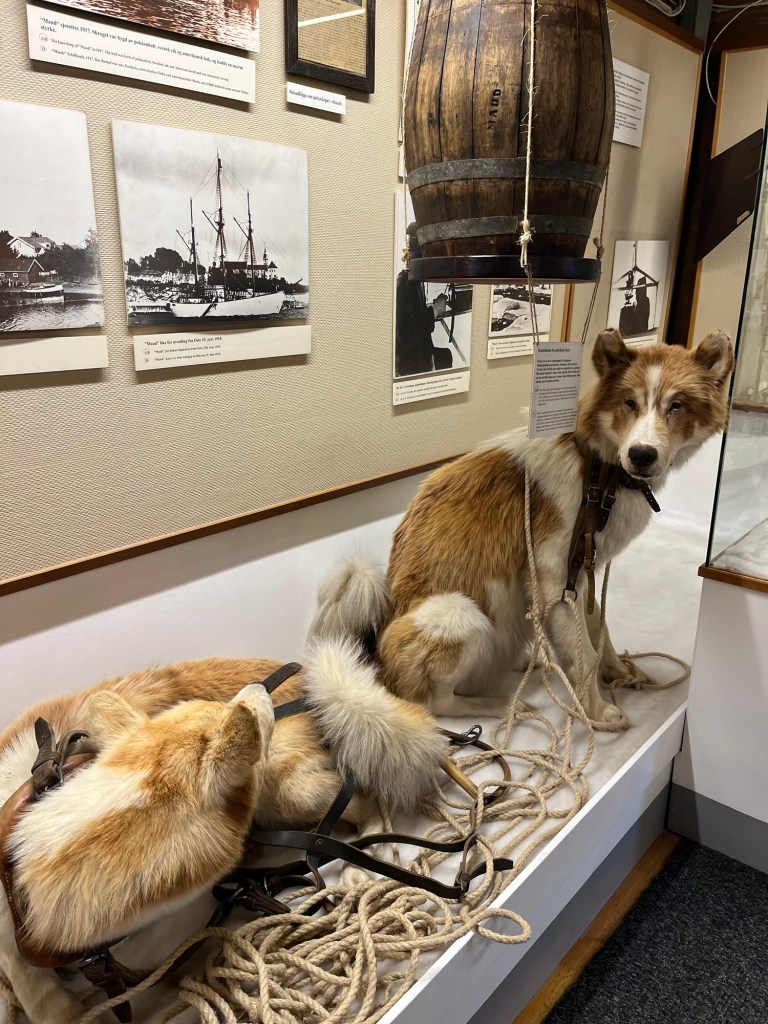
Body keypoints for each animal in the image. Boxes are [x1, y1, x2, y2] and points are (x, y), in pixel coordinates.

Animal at [0, 641, 443, 1024]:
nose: (257, 689)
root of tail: (311, 684)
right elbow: (26, 978)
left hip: (288, 788)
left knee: (366, 799)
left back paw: (356, 864)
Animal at [310, 328, 734, 727]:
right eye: (629, 402)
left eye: (676, 405)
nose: (641, 455)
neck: (598, 471)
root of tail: (377, 652)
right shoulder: (554, 578)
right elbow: (584, 655)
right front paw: (596, 714)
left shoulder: (585, 571)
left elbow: (599, 631)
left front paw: (619, 673)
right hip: (462, 612)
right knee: (434, 702)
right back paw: (503, 705)